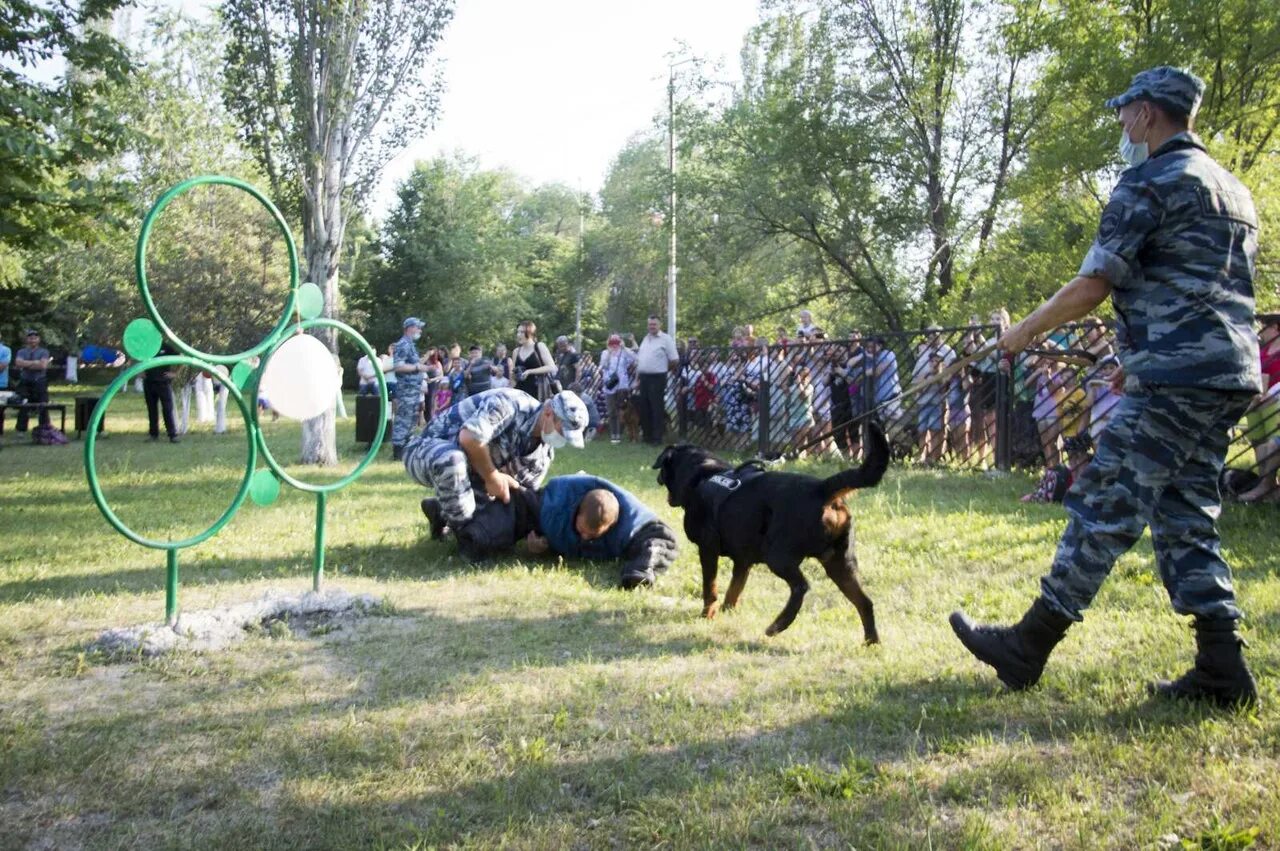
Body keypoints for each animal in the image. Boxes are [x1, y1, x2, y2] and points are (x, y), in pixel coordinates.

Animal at [655, 422, 885, 637]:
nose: (658, 478)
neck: (702, 477)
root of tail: (822, 488)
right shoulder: (743, 560)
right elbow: (734, 589)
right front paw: (727, 612)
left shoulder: (707, 548)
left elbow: (709, 587)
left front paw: (707, 615)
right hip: (840, 562)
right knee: (865, 602)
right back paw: (871, 642)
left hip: (778, 555)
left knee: (801, 586)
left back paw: (779, 625)